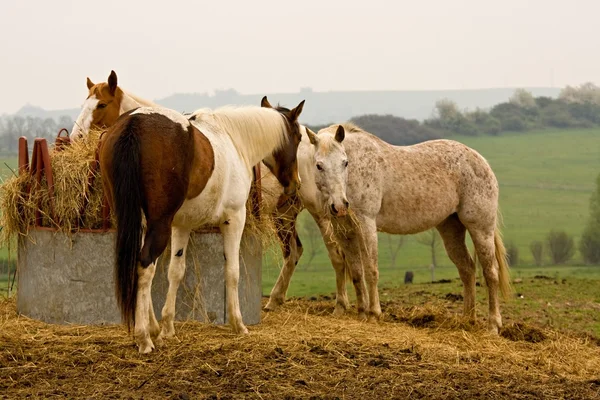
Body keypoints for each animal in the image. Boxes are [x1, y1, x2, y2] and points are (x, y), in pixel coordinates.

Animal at [99, 100, 304, 354]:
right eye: (298, 138)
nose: (296, 184)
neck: (235, 140)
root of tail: (134, 123)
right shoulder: (234, 218)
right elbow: (232, 271)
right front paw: (238, 324)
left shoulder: (182, 225)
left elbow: (175, 272)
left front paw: (167, 328)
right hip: (159, 225)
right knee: (145, 266)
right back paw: (144, 338)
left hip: (140, 223)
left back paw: (152, 329)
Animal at [268, 122, 510, 334]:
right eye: (319, 165)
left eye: (345, 163)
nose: (340, 205)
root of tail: (481, 161)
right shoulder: (344, 231)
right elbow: (356, 272)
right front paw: (361, 313)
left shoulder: (367, 224)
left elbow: (371, 270)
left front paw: (374, 314)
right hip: (451, 229)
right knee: (467, 269)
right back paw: (467, 320)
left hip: (481, 228)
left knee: (490, 273)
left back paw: (493, 326)